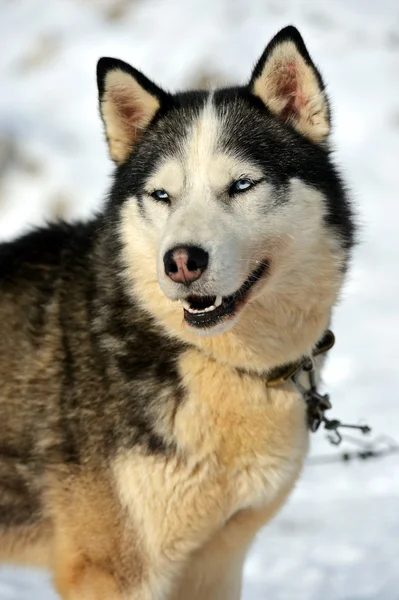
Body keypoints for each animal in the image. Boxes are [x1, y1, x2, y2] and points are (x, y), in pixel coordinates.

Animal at [0, 25, 356, 596]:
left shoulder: (217, 560)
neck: (218, 362)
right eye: (161, 194)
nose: (182, 262)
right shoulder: (115, 574)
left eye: (241, 184)